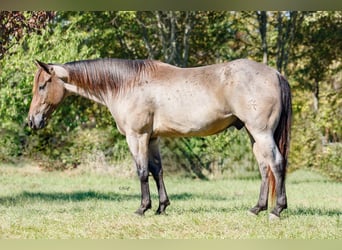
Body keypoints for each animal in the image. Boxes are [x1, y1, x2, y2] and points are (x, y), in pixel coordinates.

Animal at [28, 58, 292, 219]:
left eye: (42, 86)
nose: (32, 121)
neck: (126, 84)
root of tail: (276, 73)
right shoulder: (153, 138)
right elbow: (157, 170)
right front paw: (161, 207)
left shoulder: (137, 136)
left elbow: (142, 171)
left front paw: (142, 208)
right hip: (253, 135)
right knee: (264, 168)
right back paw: (257, 208)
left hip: (261, 133)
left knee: (277, 164)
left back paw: (277, 210)